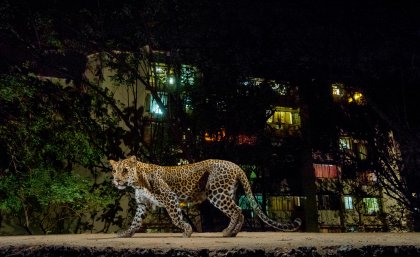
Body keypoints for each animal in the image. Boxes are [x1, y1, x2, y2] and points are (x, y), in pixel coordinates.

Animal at [109, 155, 302, 237]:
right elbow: (136, 221)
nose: (116, 180)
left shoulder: (169, 197)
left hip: (216, 192)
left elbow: (176, 218)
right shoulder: (143, 204)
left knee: (237, 210)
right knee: (239, 210)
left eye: (125, 170)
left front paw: (187, 230)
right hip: (227, 192)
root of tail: (236, 165)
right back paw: (232, 232)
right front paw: (126, 233)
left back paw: (227, 232)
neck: (137, 182)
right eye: (114, 171)